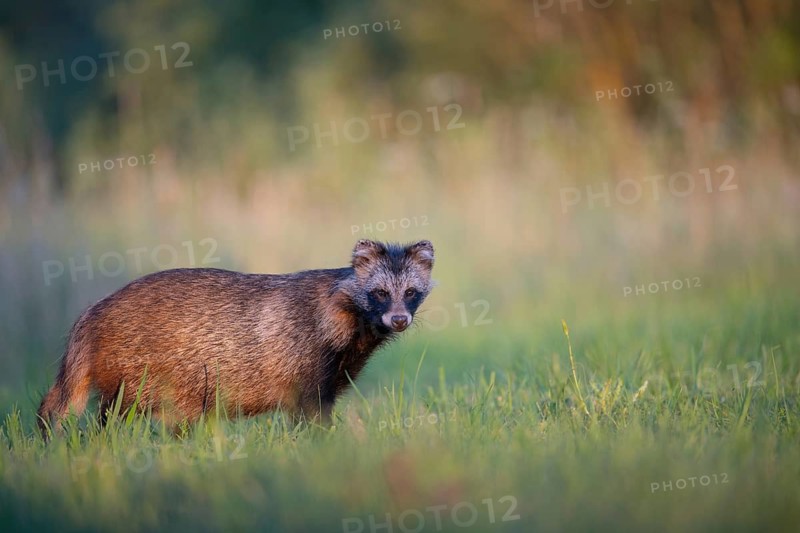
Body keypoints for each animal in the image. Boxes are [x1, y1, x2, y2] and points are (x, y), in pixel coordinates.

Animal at [37, 239, 434, 435]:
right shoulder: (305, 360)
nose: (399, 319)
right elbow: (309, 414)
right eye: (379, 292)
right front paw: (318, 445)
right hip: (137, 370)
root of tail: (93, 313)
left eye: (411, 291)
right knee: (114, 414)